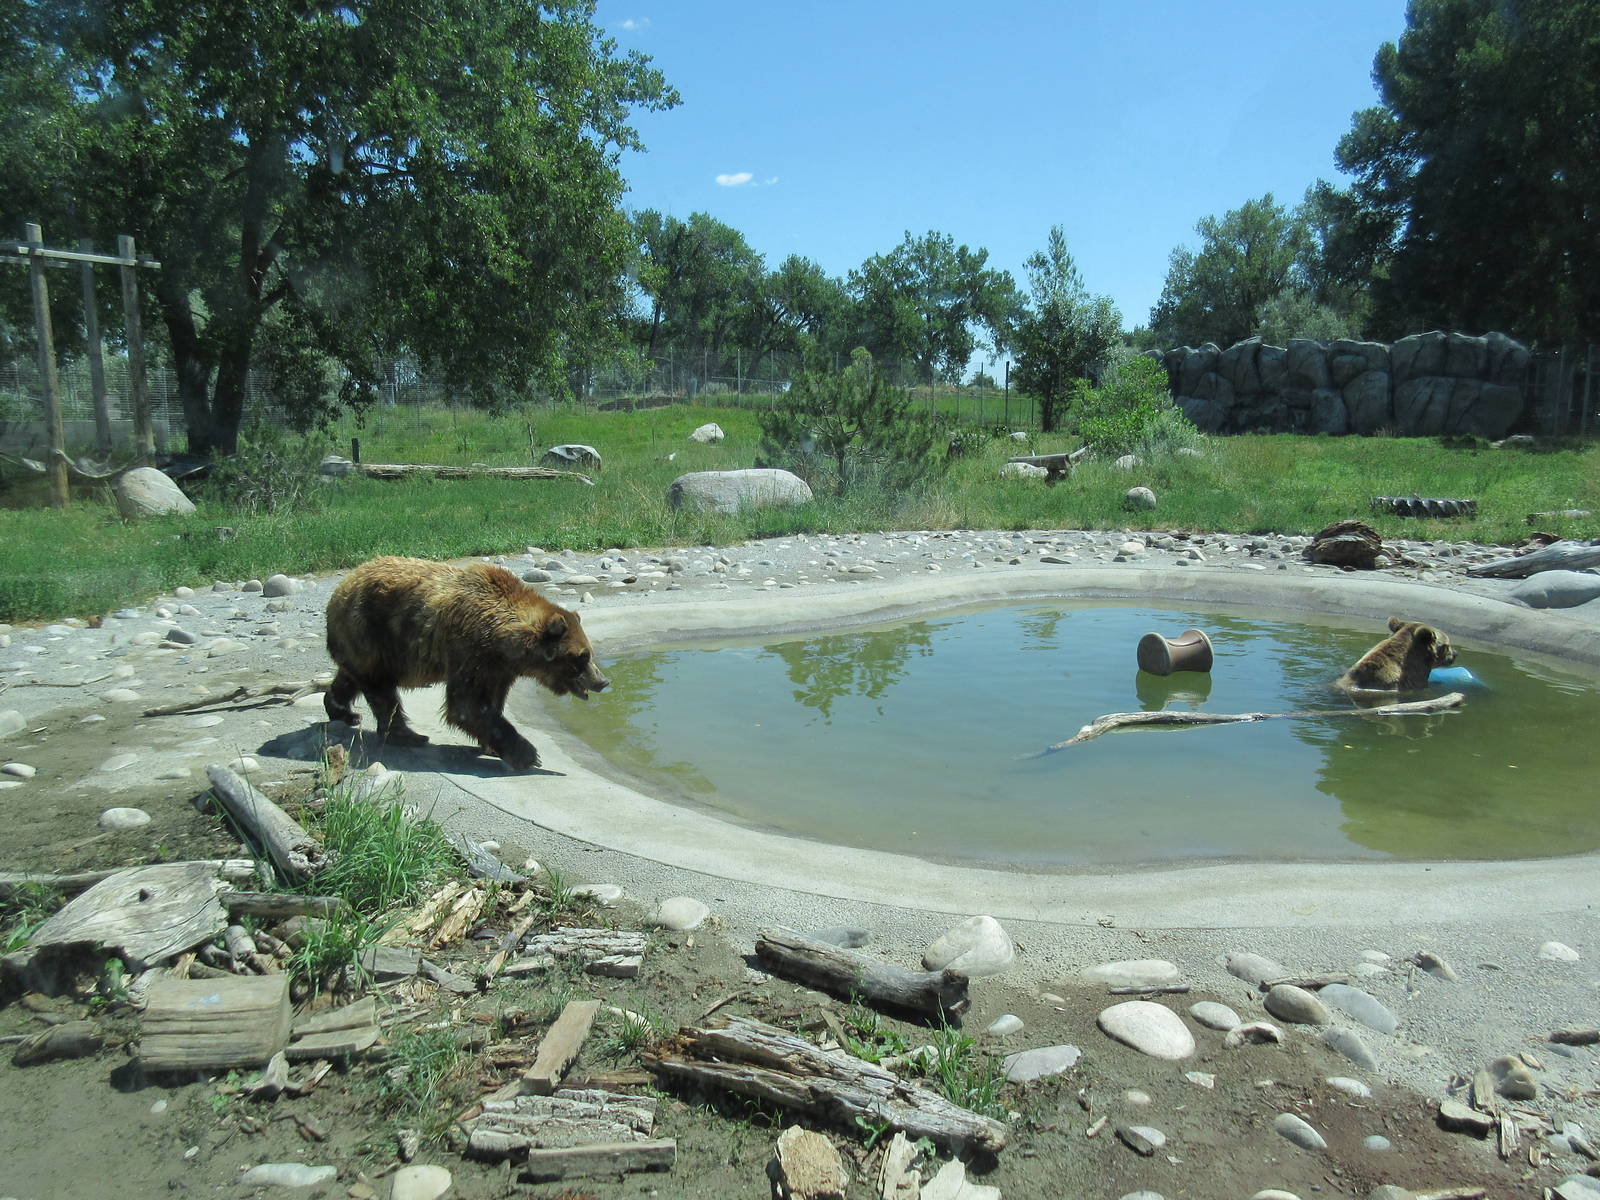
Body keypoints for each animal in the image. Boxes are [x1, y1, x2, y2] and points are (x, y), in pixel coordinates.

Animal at [323, 556, 608, 770]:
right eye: (582, 656)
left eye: (589, 653)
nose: (602, 681)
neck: (506, 642)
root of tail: (340, 587)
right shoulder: (471, 650)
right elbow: (467, 705)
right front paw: (528, 754)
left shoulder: (499, 668)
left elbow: (488, 704)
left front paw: (493, 746)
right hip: (373, 632)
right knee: (383, 693)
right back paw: (408, 735)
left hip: (365, 644)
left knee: (352, 678)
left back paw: (343, 710)